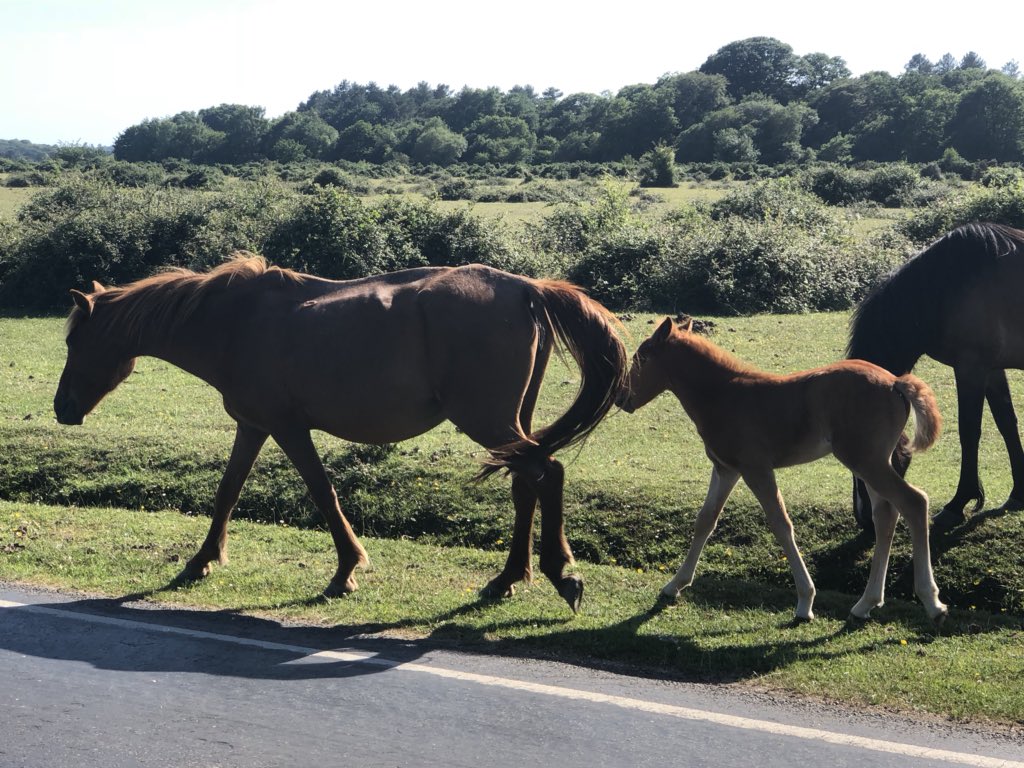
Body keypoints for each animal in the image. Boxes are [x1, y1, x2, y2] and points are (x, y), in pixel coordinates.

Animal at [54, 254, 628, 613]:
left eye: (75, 344)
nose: (62, 409)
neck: (235, 322)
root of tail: (529, 289)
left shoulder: (288, 428)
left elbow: (322, 492)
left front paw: (346, 569)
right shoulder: (253, 426)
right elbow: (227, 492)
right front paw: (202, 561)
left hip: (488, 420)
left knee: (547, 472)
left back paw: (560, 572)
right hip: (510, 426)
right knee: (526, 484)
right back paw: (509, 578)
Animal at [616, 317, 947, 624]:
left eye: (641, 357)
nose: (622, 398)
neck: (723, 393)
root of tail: (895, 382)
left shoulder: (756, 469)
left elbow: (781, 524)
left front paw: (805, 602)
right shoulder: (726, 469)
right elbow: (705, 520)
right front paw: (675, 585)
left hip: (866, 461)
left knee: (914, 502)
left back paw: (932, 603)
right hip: (872, 463)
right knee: (886, 516)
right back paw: (866, 603)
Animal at [847, 222, 1024, 531]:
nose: (865, 519)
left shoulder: (971, 368)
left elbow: (969, 431)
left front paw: (958, 504)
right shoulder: (992, 370)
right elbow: (1007, 424)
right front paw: (1018, 493)